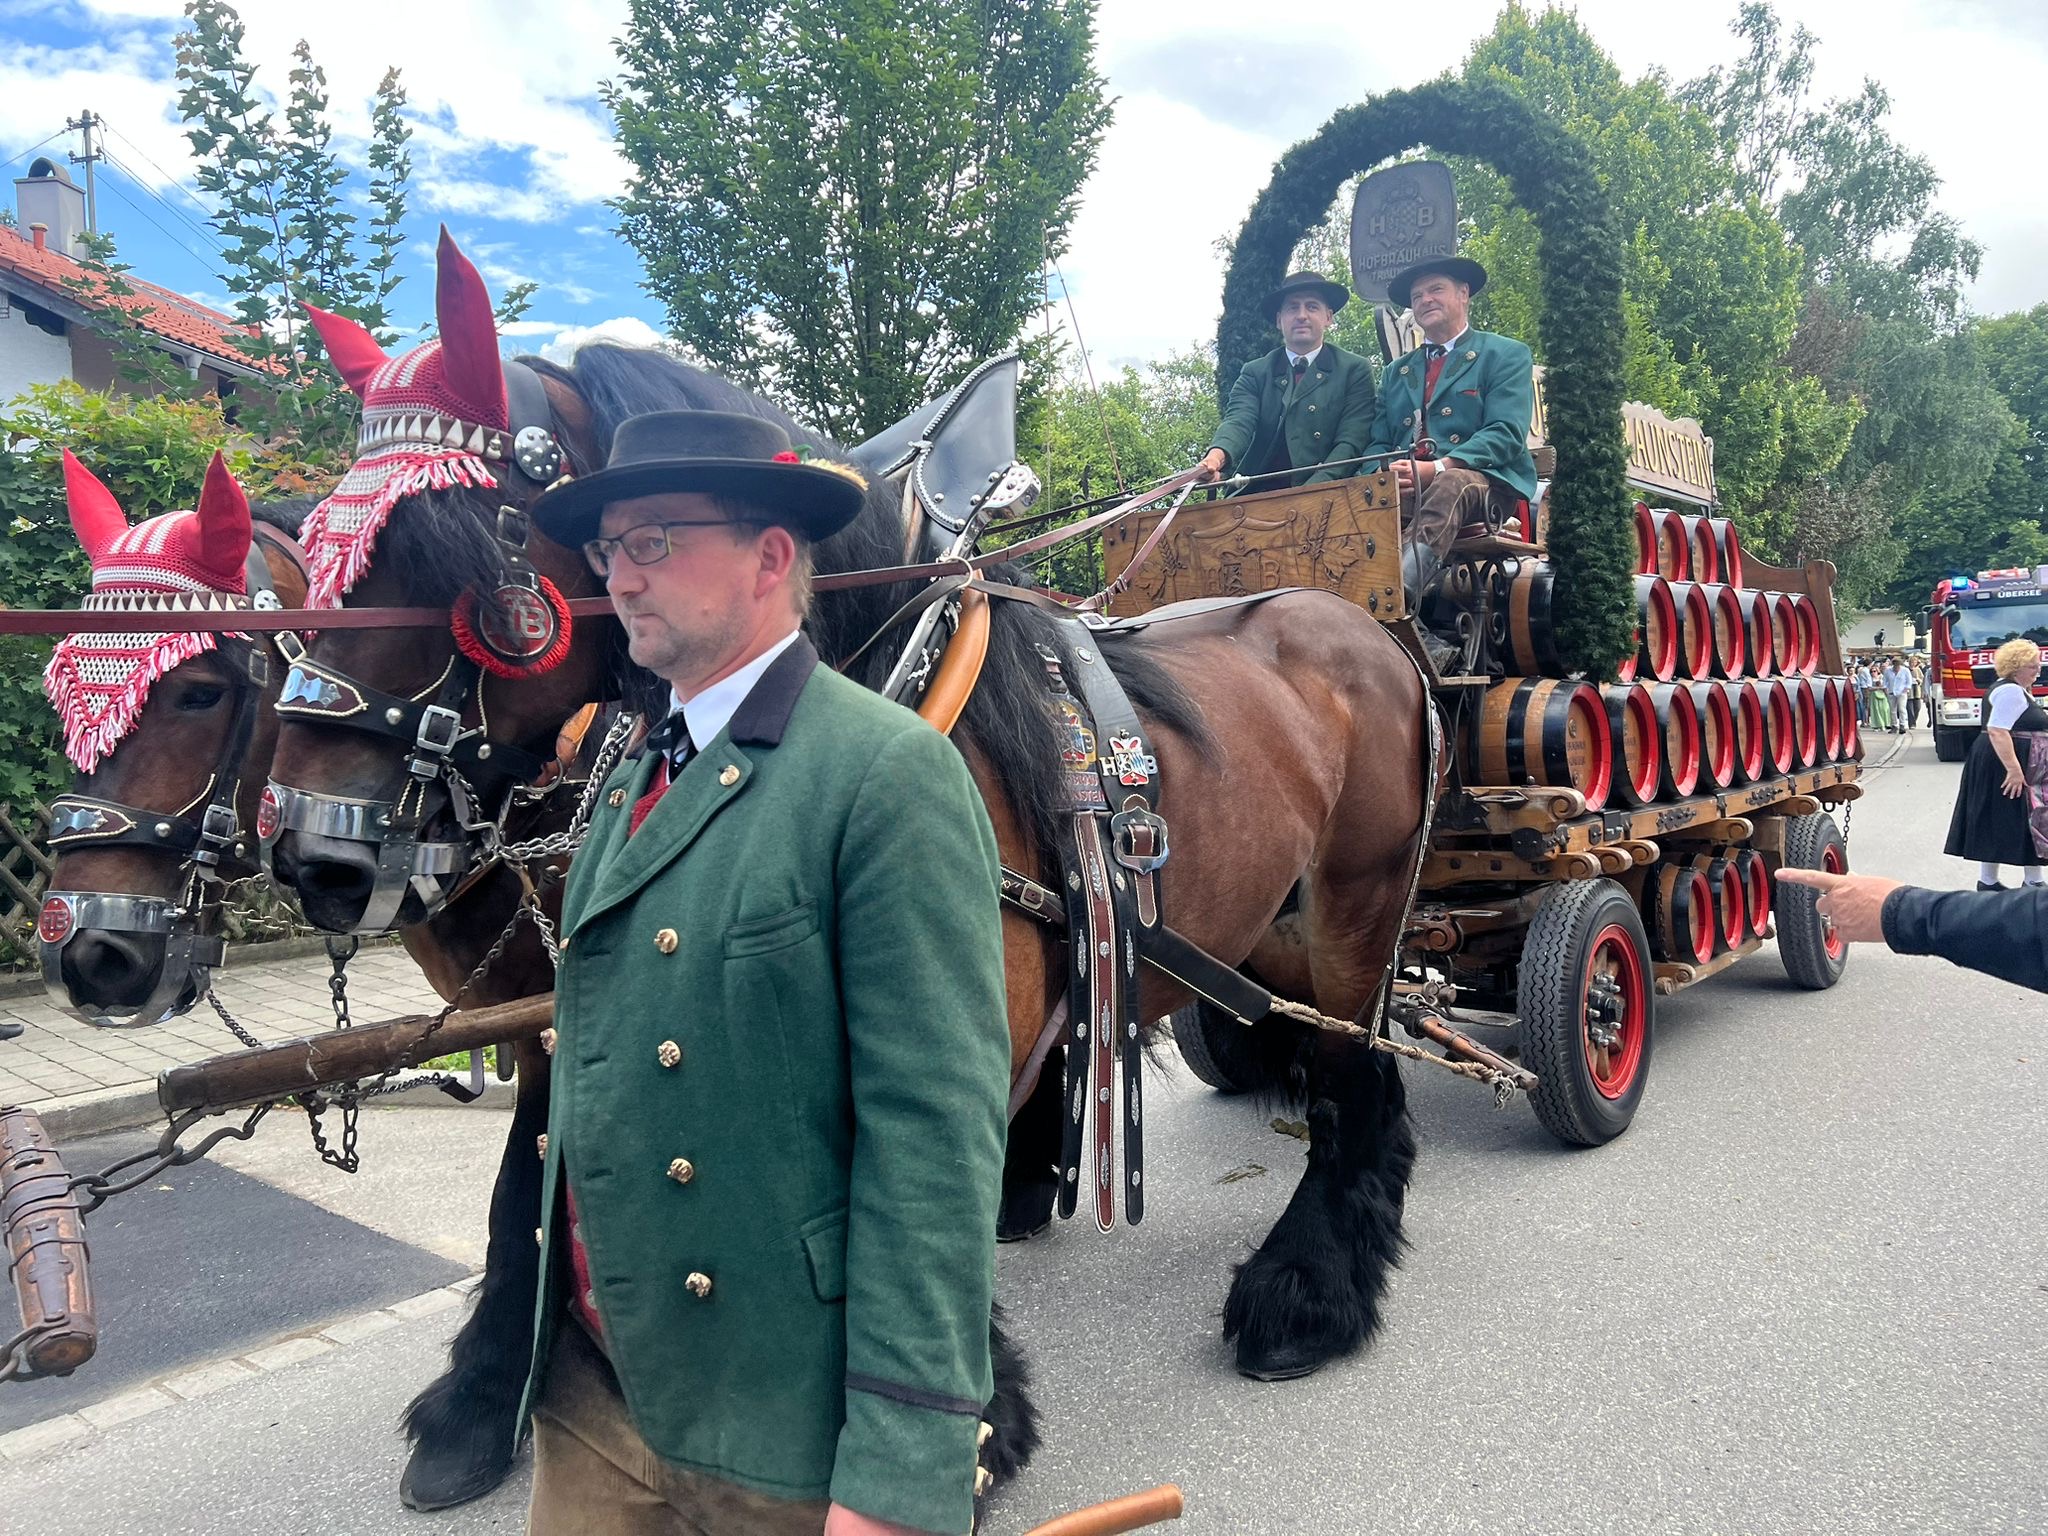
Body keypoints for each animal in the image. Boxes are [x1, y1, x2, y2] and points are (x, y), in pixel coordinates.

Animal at [262, 233, 1428, 1508]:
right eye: (318, 560)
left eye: (465, 557)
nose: (311, 846)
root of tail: (1370, 627)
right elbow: (536, 1173)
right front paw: (495, 1392)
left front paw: (964, 1430)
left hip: (1355, 907)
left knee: (1354, 1070)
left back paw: (1309, 1294)